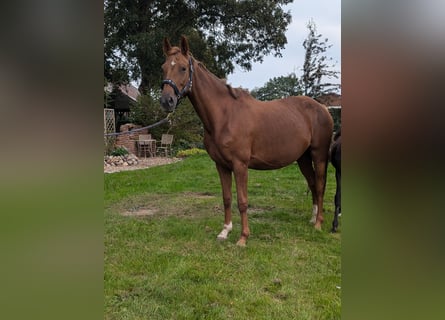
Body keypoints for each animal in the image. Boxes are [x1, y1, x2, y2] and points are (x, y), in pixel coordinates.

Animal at [160, 35, 332, 245]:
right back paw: (313, 219)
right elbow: (227, 198)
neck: (225, 115)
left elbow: (242, 201)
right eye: (163, 67)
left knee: (321, 185)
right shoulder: (221, 165)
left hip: (319, 155)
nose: (166, 101)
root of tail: (323, 108)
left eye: (183, 68)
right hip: (303, 158)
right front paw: (225, 231)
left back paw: (318, 224)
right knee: (313, 184)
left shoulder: (240, 165)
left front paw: (243, 237)